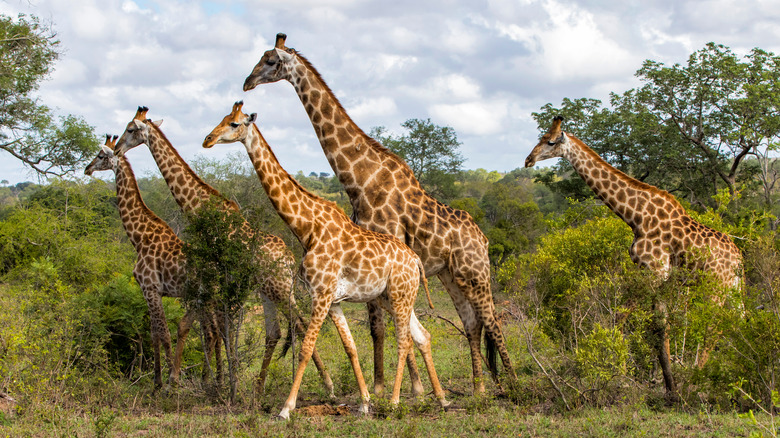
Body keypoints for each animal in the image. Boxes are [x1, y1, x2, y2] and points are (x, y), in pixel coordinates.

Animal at [84, 133, 219, 386]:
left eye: (100, 155)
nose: (87, 168)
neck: (138, 237)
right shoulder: (148, 291)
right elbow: (154, 334)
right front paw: (157, 381)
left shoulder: (151, 288)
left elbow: (163, 334)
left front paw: (167, 380)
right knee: (214, 332)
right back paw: (213, 379)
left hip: (203, 296)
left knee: (210, 331)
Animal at [114, 107, 334, 396]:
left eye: (130, 129)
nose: (116, 149)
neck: (200, 207)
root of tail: (288, 258)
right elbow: (217, 329)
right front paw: (219, 381)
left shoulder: (216, 280)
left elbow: (215, 329)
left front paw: (216, 382)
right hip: (269, 289)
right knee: (276, 331)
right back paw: (259, 386)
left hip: (278, 288)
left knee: (299, 323)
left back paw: (327, 384)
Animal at [201, 101, 450, 420]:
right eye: (222, 118)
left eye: (234, 123)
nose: (207, 139)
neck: (307, 227)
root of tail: (415, 259)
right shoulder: (333, 301)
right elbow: (350, 347)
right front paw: (364, 403)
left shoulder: (320, 294)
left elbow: (307, 347)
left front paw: (286, 408)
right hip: (391, 296)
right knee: (422, 335)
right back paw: (441, 399)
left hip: (399, 294)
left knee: (405, 339)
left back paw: (396, 403)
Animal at [241, 32, 516, 394]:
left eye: (271, 61)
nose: (247, 82)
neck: (360, 180)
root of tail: (483, 237)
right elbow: (379, 328)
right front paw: (391, 387)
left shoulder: (386, 250)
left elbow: (388, 326)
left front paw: (403, 389)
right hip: (450, 274)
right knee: (472, 323)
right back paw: (479, 388)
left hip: (475, 272)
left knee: (493, 321)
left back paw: (514, 385)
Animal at [524, 115, 744, 396]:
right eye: (540, 138)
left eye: (550, 141)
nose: (528, 160)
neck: (635, 216)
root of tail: (739, 258)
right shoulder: (655, 275)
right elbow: (658, 327)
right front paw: (664, 382)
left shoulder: (654, 271)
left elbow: (626, 318)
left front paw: (613, 368)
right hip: (733, 289)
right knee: (739, 322)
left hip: (715, 287)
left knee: (712, 327)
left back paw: (697, 378)